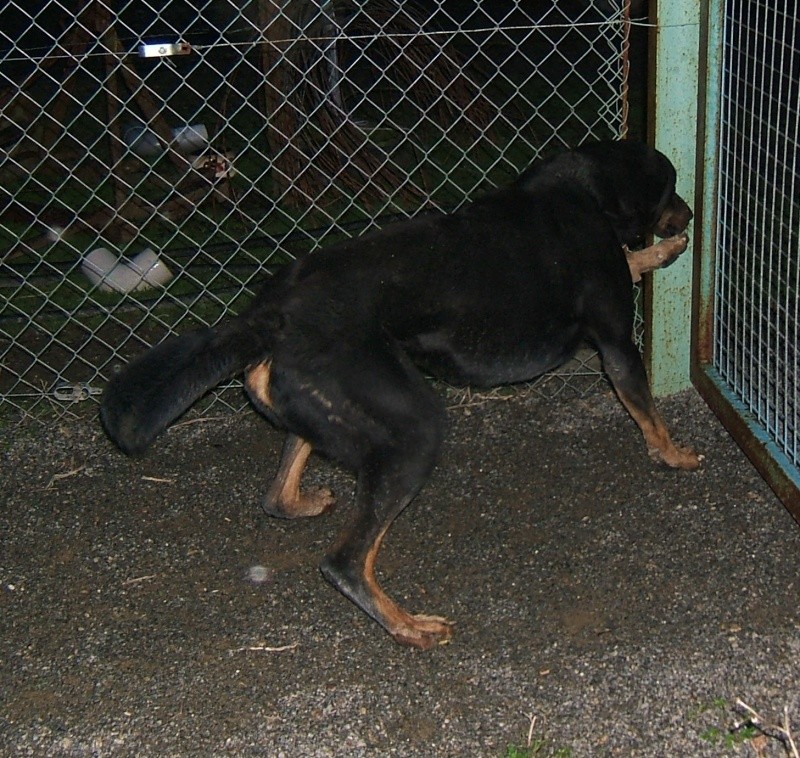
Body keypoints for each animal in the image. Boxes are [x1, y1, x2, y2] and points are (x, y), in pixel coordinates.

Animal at [101, 140, 700, 652]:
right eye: (671, 187)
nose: (691, 216)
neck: (582, 189)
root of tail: (269, 316)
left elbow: (633, 262)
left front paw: (662, 251)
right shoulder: (616, 343)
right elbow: (648, 411)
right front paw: (673, 454)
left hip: (331, 413)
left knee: (276, 494)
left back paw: (303, 504)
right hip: (412, 430)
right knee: (345, 561)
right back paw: (408, 626)